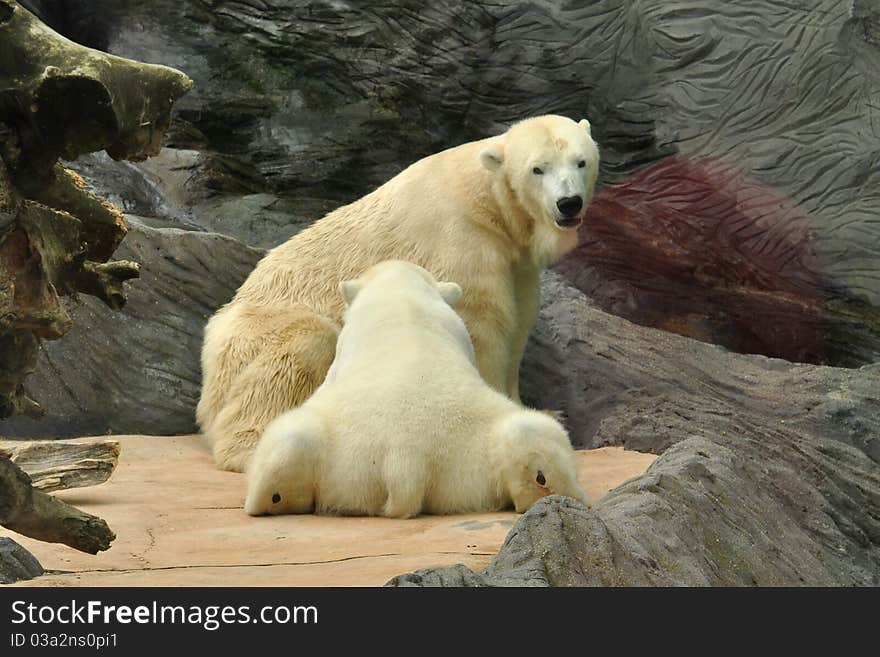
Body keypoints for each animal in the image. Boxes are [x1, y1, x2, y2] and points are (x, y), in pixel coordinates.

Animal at [199, 114, 600, 472]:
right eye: (537, 169)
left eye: (581, 161)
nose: (569, 203)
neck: (488, 201)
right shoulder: (461, 239)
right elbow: (479, 325)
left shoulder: (515, 259)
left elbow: (519, 323)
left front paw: (540, 411)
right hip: (257, 330)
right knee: (301, 349)